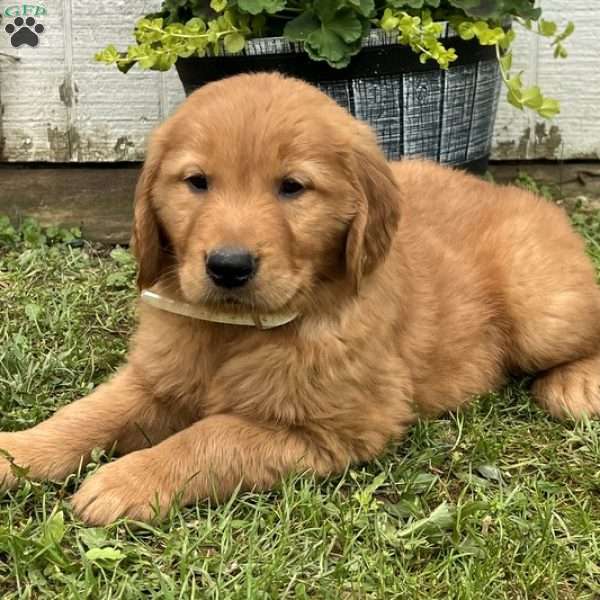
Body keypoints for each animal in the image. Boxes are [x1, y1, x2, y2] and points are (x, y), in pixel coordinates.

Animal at [1, 74, 600, 524]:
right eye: (196, 182)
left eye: (292, 187)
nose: (229, 266)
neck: (233, 331)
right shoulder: (155, 377)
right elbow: (88, 413)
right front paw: (17, 451)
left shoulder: (333, 429)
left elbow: (211, 437)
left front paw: (128, 479)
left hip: (539, 308)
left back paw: (575, 384)